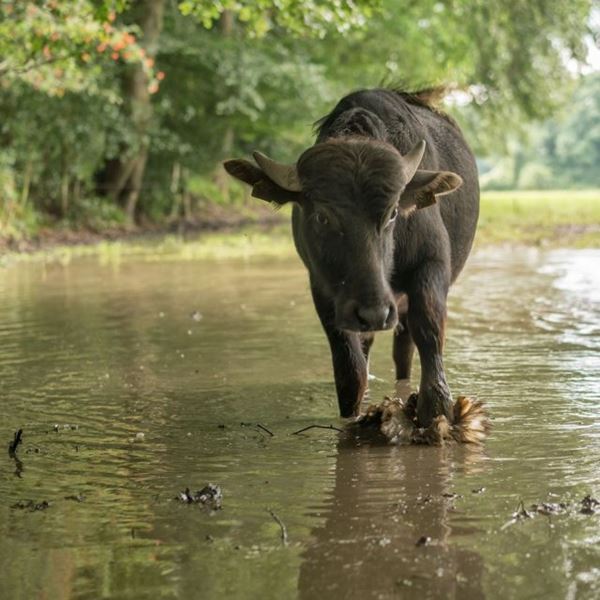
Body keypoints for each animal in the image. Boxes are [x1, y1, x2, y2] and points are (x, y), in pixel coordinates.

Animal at [225, 88, 478, 426]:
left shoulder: (431, 264)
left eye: (393, 212)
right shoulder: (323, 287)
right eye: (322, 217)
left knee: (404, 350)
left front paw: (436, 410)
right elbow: (349, 365)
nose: (373, 312)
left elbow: (429, 330)